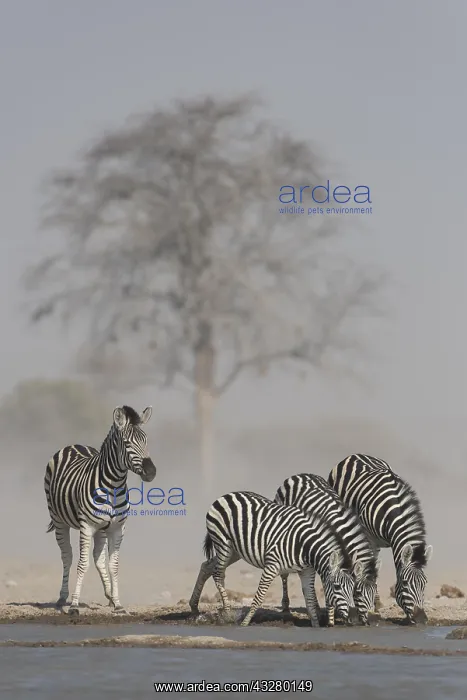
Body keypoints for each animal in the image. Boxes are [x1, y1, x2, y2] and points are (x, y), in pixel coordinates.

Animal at [44, 405, 156, 617]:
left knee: (98, 558)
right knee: (67, 556)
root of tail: (74, 445)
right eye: (127, 443)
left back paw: (109, 595)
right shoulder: (87, 526)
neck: (114, 485)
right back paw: (63, 598)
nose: (151, 472)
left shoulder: (116, 528)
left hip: (101, 529)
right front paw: (74, 605)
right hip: (59, 520)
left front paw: (118, 604)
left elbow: (113, 565)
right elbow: (82, 564)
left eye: (146, 440)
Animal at [189, 491, 356, 628]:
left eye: (353, 588)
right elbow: (259, 597)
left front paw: (315, 625)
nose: (353, 617)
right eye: (337, 587)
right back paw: (228, 612)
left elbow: (310, 601)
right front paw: (245, 623)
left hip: (235, 551)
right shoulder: (272, 566)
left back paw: (194, 606)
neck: (304, 546)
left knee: (207, 566)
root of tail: (225, 495)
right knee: (218, 574)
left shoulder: (307, 571)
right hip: (223, 543)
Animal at [274, 473, 380, 625]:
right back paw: (286, 606)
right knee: (284, 575)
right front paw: (330, 620)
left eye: (374, 591)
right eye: (358, 592)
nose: (366, 622)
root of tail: (299, 475)